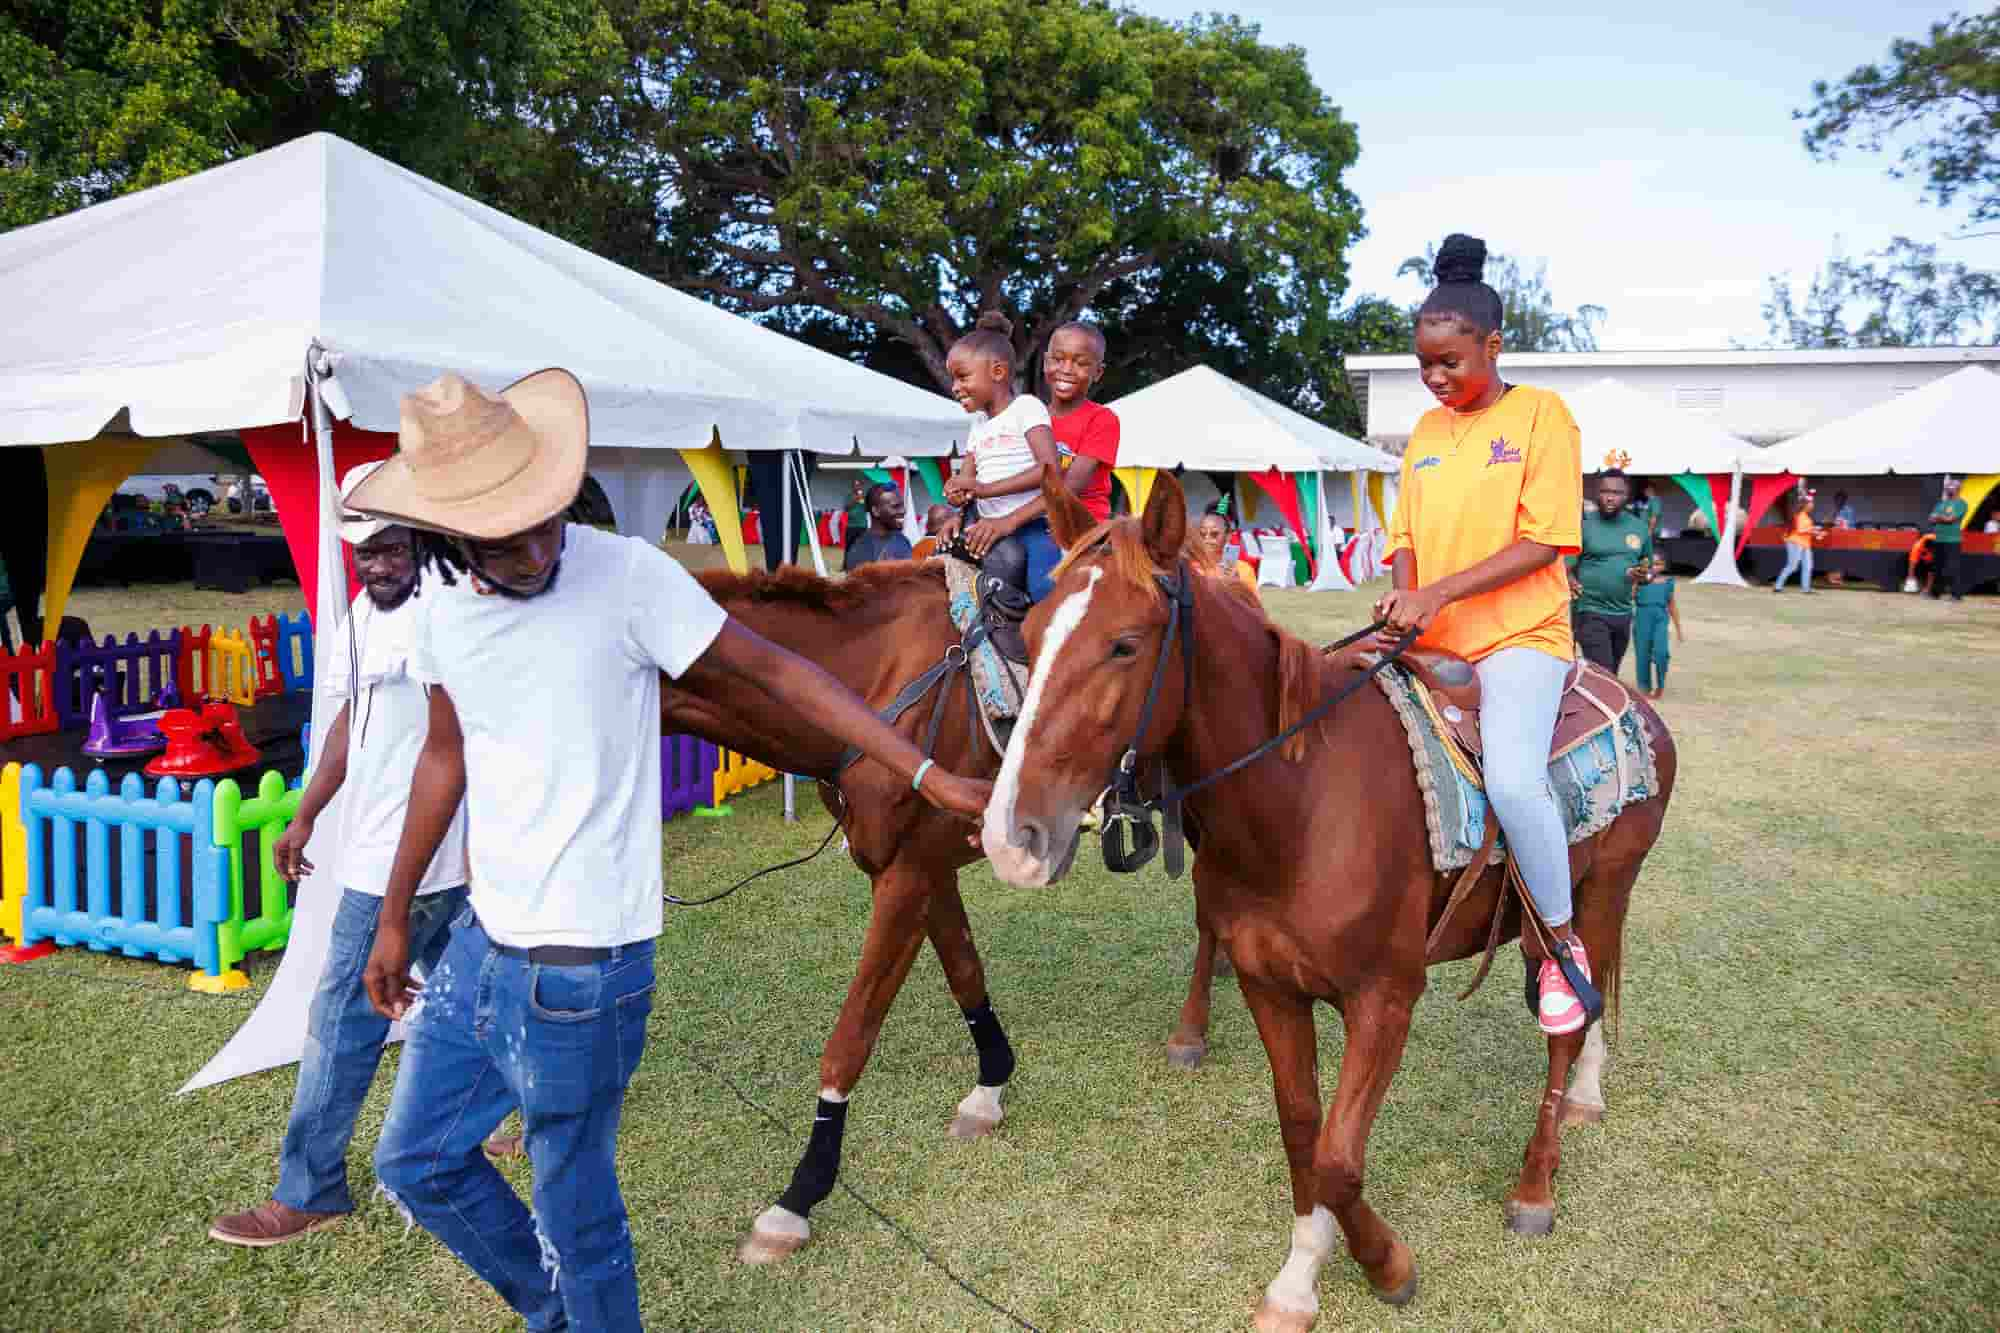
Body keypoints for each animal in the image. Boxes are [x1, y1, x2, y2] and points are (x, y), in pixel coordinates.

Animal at [660, 556, 1216, 1264]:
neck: (874, 684)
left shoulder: (905, 878)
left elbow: (851, 1039)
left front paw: (799, 1195)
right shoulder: (926, 871)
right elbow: (965, 974)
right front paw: (989, 1089)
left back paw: (1194, 1028)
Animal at [984, 472, 1672, 1320]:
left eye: (1124, 642)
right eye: (1029, 630)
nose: (1010, 834)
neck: (1303, 803)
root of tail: (1635, 701)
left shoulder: (1385, 999)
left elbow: (1341, 1157)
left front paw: (1387, 1264)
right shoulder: (1270, 987)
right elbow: (1304, 1132)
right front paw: (1300, 1276)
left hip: (1599, 896)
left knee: (1568, 1027)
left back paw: (1537, 1181)